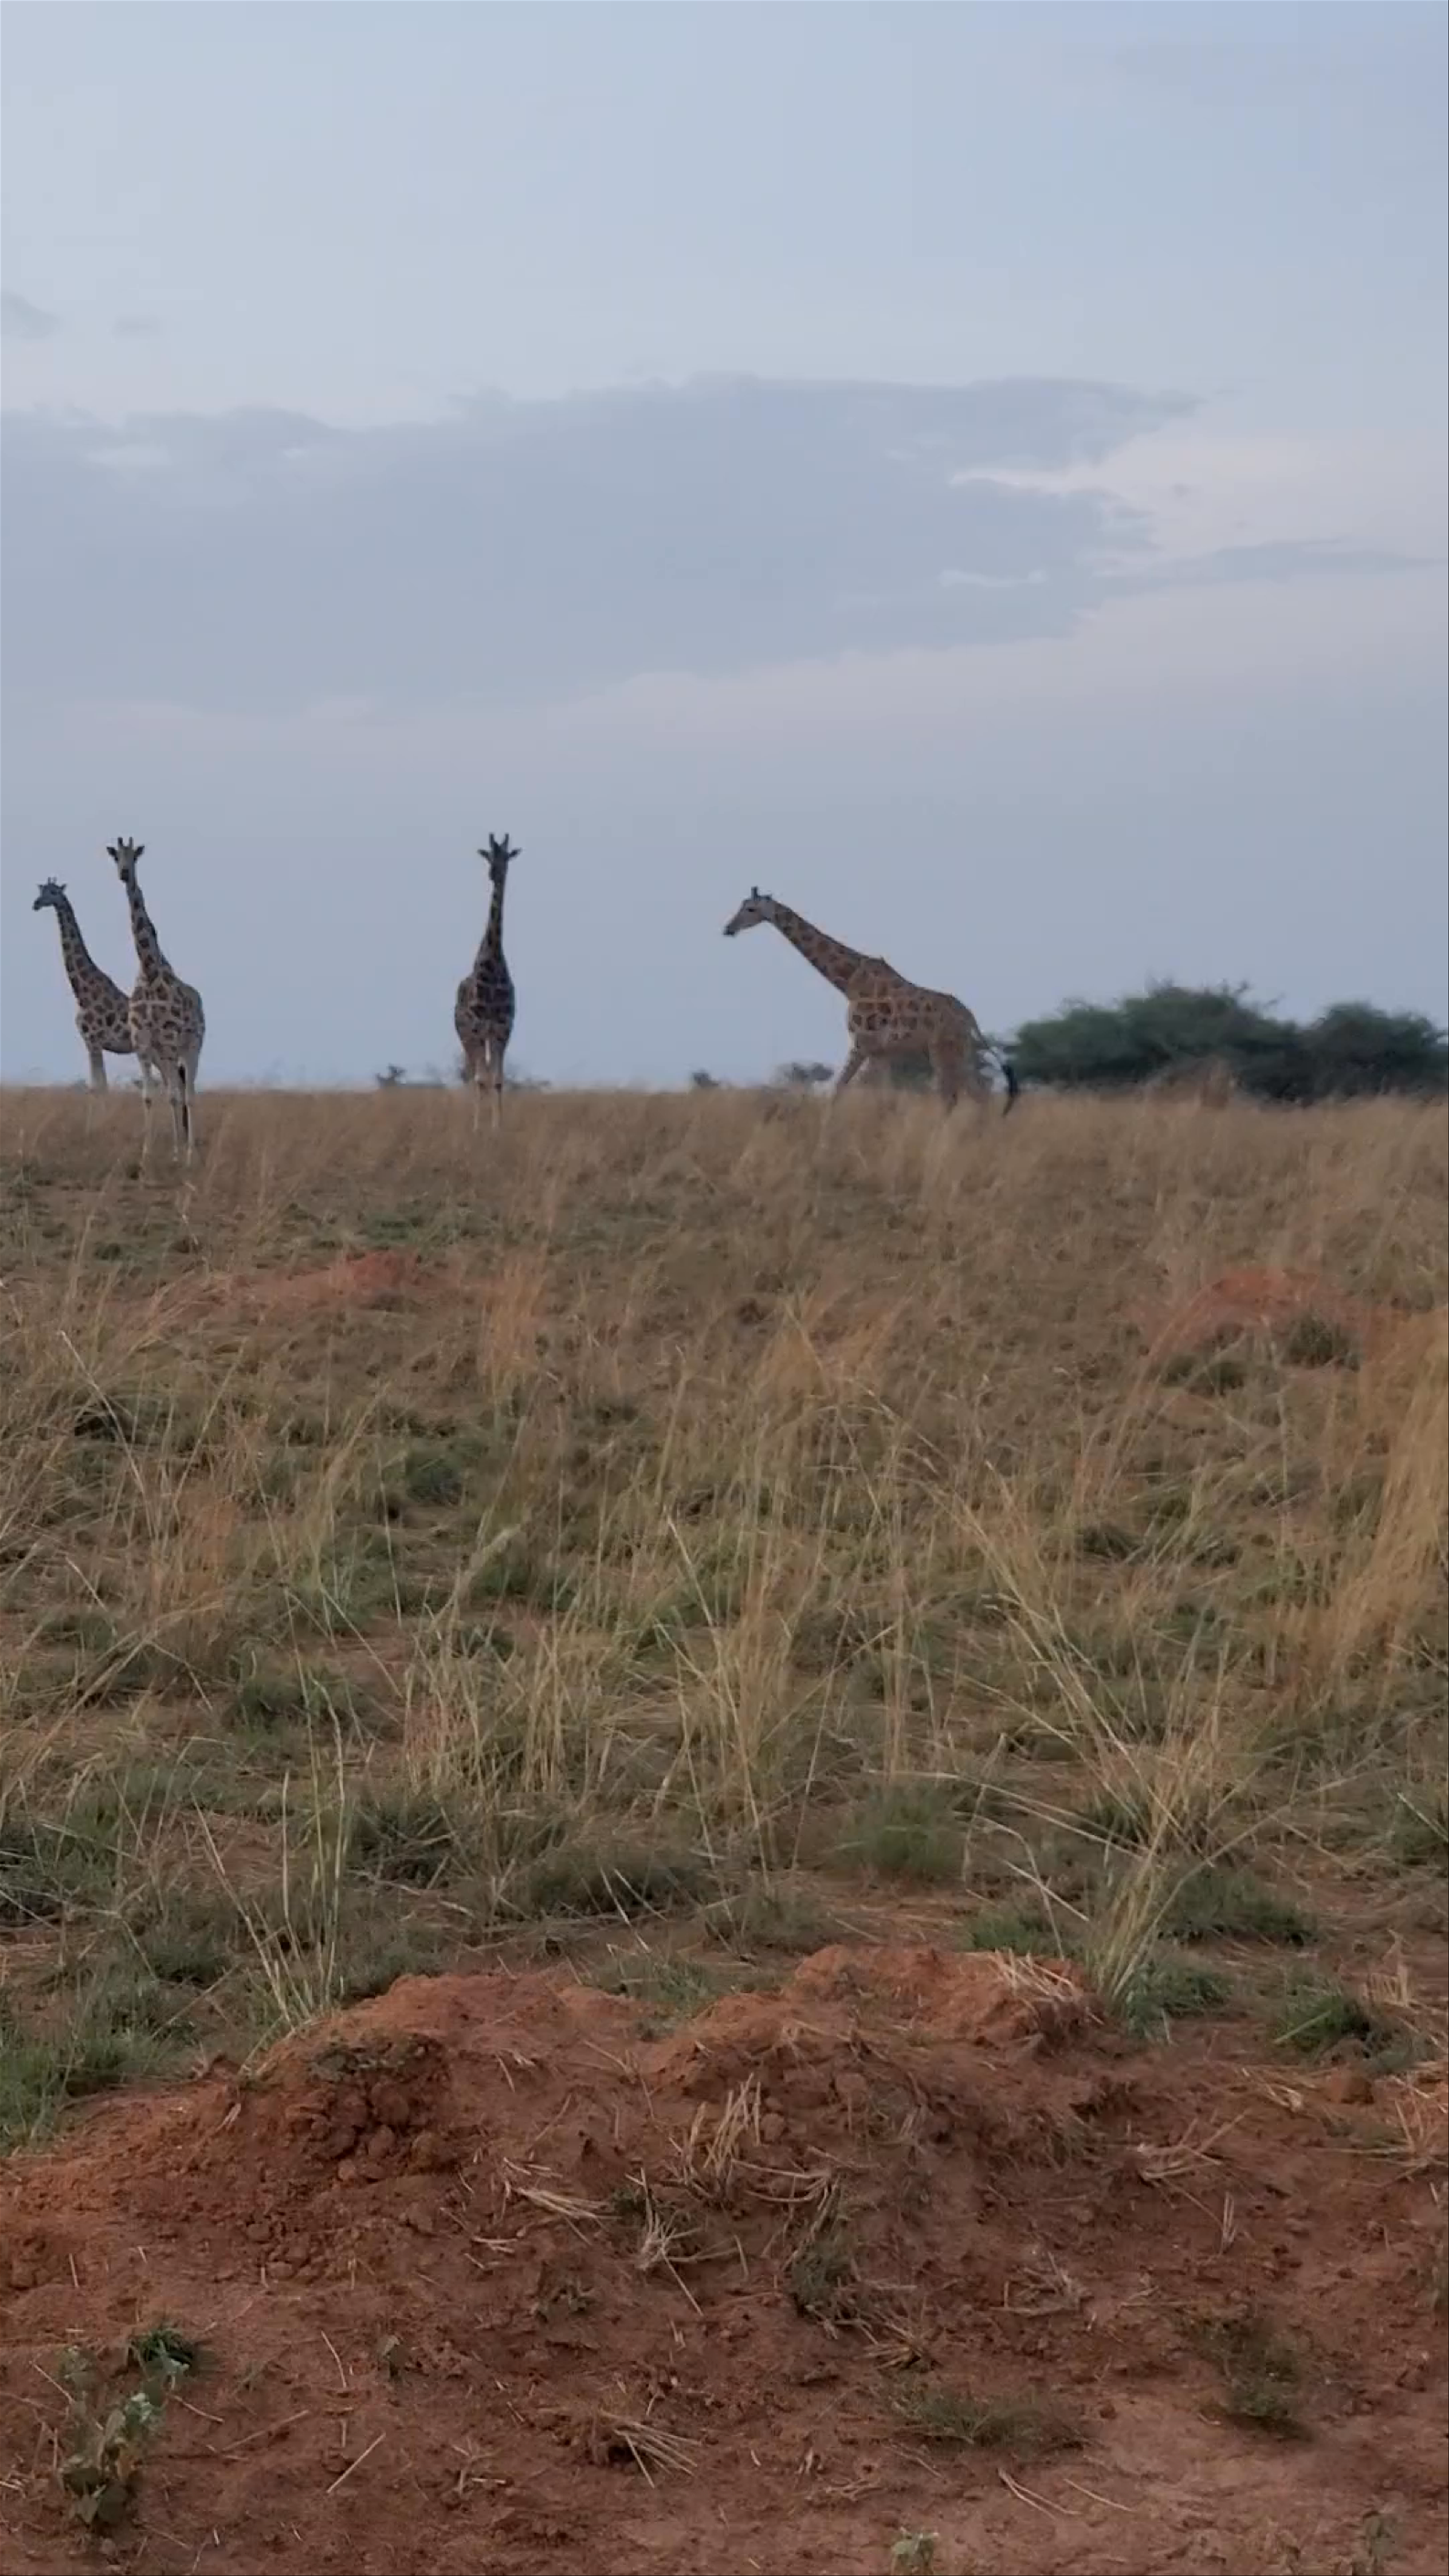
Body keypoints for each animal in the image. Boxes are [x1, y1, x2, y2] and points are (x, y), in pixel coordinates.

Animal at [32, 880, 136, 1092]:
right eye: (41, 890)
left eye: (54, 892)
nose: (36, 904)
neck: (82, 993)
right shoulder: (89, 1043)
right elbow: (97, 1086)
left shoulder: (94, 1041)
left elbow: (101, 1087)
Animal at [106, 838, 206, 1159]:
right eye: (116, 857)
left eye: (135, 856)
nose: (124, 874)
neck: (150, 971)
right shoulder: (143, 1043)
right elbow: (150, 1096)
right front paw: (147, 1153)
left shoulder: (173, 1040)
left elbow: (179, 1095)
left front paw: (184, 1154)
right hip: (164, 1054)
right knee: (175, 1092)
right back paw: (178, 1150)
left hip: (192, 1046)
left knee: (189, 1094)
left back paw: (189, 1152)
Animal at [723, 888, 1016, 1112]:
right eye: (742, 905)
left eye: (751, 909)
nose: (728, 929)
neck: (848, 982)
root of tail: (970, 1017)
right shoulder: (882, 1052)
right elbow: (885, 1102)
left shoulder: (862, 1043)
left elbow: (838, 1091)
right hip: (961, 1050)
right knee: (979, 1094)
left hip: (942, 1049)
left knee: (951, 1096)